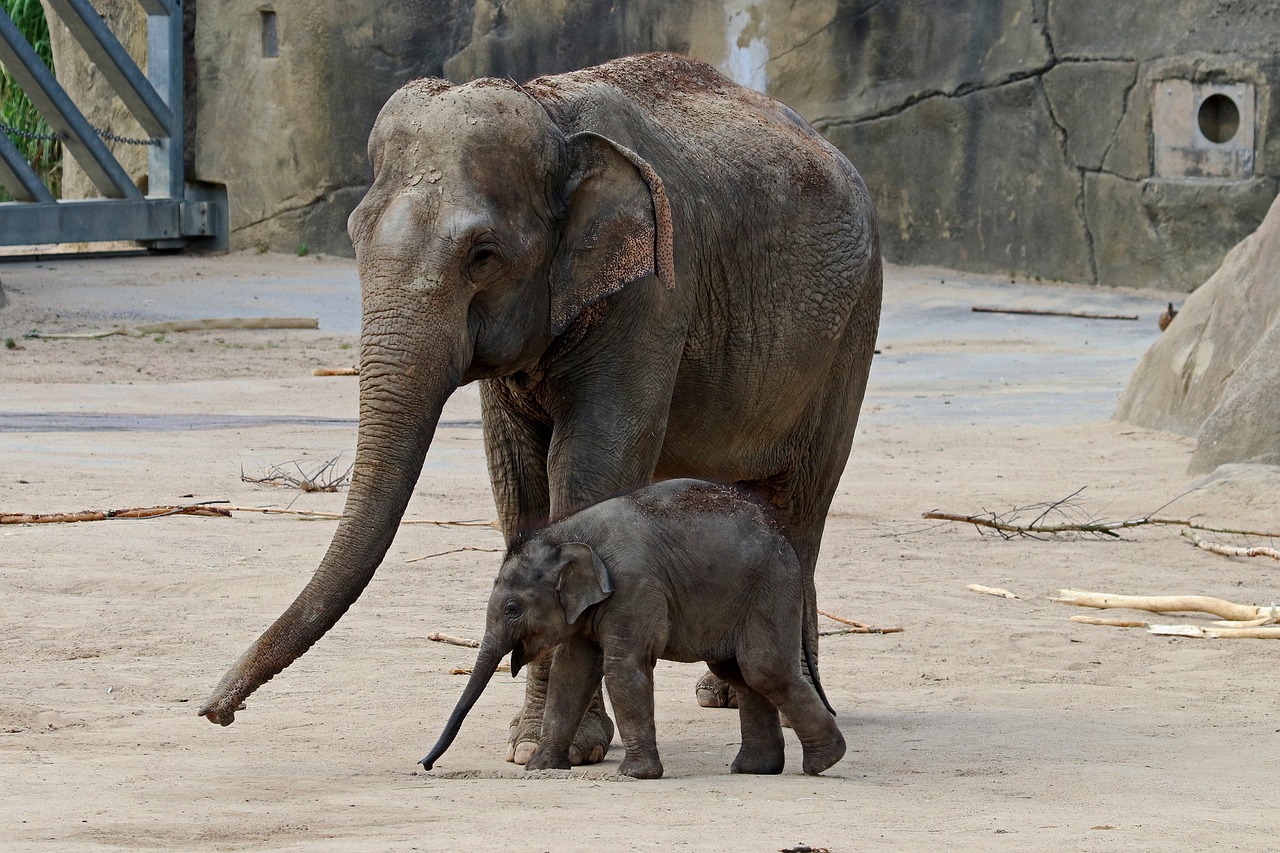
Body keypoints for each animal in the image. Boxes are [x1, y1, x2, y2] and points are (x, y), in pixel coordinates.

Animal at [419, 479, 844, 778]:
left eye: (511, 609)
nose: (424, 765)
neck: (567, 534)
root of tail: (785, 537)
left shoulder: (634, 586)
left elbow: (622, 668)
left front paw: (636, 775)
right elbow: (572, 673)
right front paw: (540, 767)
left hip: (768, 589)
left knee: (763, 669)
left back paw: (824, 762)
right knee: (739, 672)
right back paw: (755, 769)